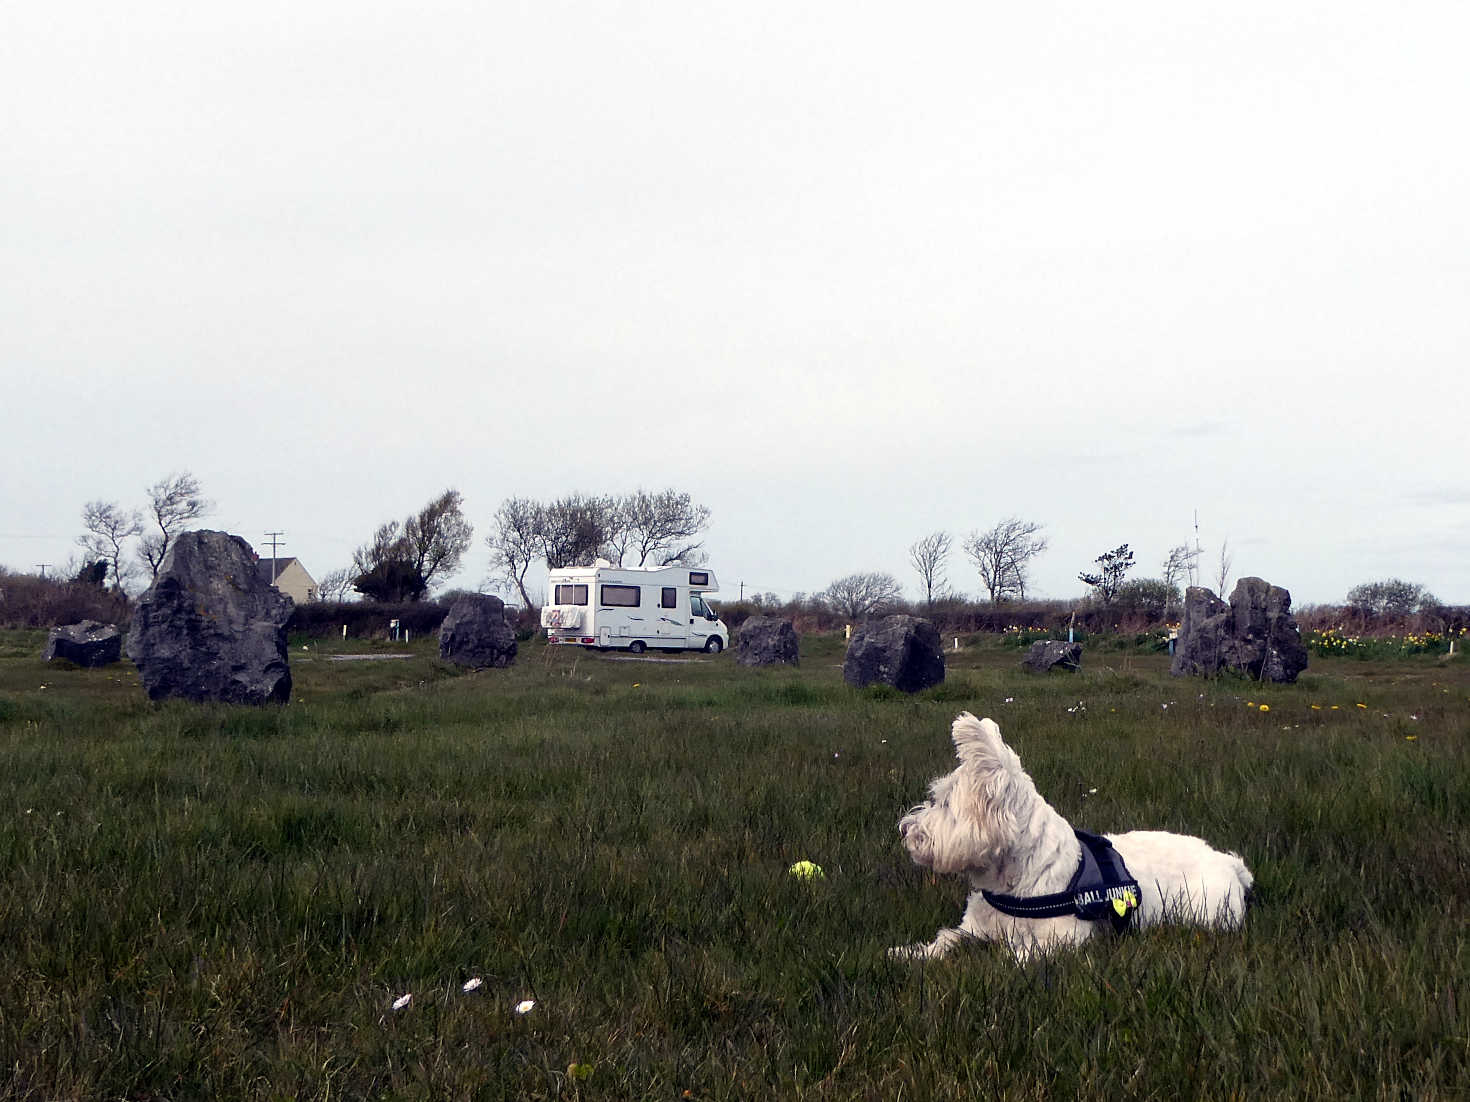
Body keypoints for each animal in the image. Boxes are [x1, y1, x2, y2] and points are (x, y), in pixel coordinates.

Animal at [893, 717, 1252, 958]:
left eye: (943, 803)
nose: (906, 829)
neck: (1013, 879)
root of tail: (1227, 862)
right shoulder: (976, 927)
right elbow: (946, 939)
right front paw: (909, 953)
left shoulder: (1063, 937)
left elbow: (1018, 957)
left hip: (1208, 912)